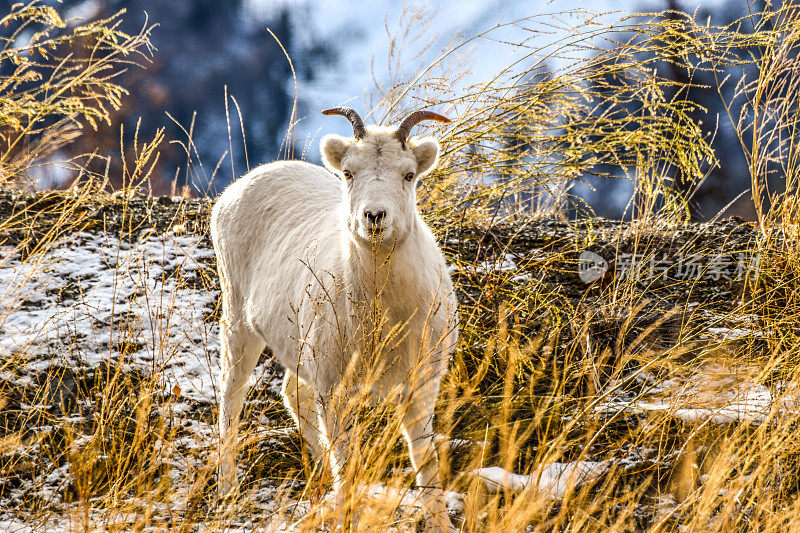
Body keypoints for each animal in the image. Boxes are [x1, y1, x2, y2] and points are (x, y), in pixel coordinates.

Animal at [209, 107, 460, 528]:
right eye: (349, 173)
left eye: (409, 174)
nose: (374, 216)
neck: (386, 316)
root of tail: (236, 189)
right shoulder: (336, 391)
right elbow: (349, 463)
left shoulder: (421, 388)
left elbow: (424, 461)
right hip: (238, 320)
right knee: (232, 395)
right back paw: (227, 489)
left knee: (293, 394)